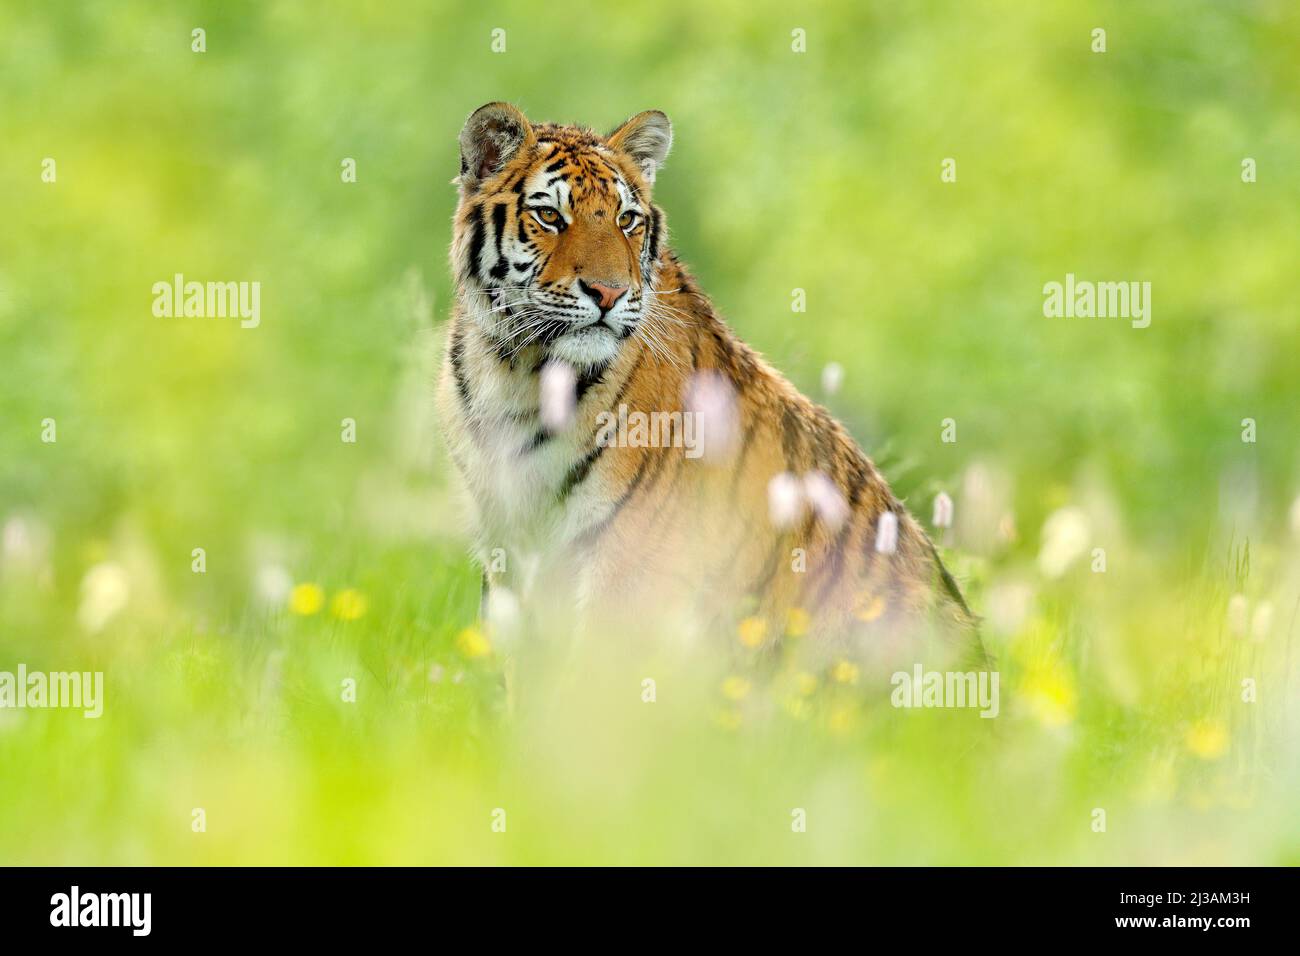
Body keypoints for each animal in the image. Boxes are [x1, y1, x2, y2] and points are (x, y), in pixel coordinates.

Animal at [438, 102, 986, 677]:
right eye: (549, 216)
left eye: (626, 219)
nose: (609, 293)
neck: (517, 371)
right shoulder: (509, 551)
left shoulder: (627, 561)